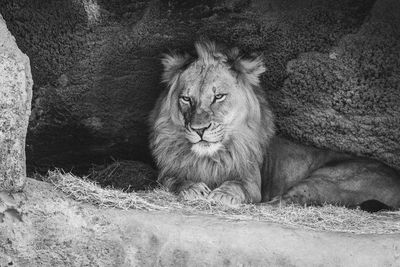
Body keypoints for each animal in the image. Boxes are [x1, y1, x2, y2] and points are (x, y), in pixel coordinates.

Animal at [148, 41, 400, 211]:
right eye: (186, 99)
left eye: (218, 96)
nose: (199, 129)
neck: (210, 157)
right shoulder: (166, 173)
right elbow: (173, 180)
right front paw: (193, 188)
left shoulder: (251, 180)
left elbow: (238, 185)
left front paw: (223, 195)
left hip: (327, 179)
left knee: (288, 201)